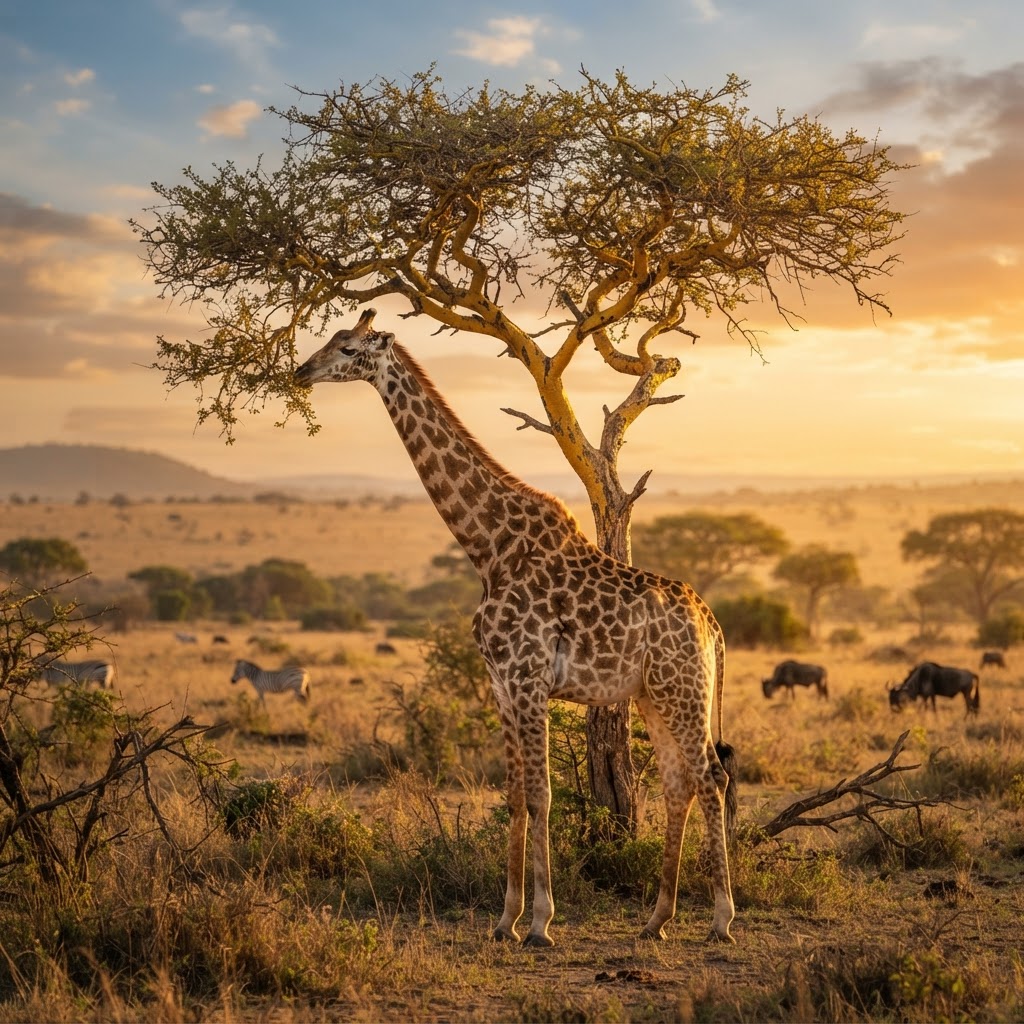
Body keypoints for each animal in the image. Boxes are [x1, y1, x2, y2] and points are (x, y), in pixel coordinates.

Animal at [294, 310, 737, 946]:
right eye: (330, 339)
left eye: (349, 348)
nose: (301, 371)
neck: (489, 550)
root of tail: (712, 623)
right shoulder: (501, 685)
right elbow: (512, 796)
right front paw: (504, 919)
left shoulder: (529, 681)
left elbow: (542, 795)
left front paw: (542, 922)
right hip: (653, 694)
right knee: (680, 782)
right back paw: (657, 919)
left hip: (684, 691)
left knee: (711, 777)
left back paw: (722, 918)